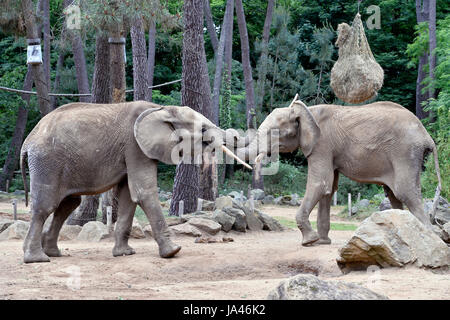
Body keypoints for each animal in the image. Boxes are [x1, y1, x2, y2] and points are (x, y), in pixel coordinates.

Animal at [20, 100, 246, 262]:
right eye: (203, 129)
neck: (161, 109)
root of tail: (28, 141)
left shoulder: (133, 150)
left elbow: (128, 196)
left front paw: (124, 254)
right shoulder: (135, 146)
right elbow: (144, 192)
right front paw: (173, 252)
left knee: (68, 203)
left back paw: (52, 253)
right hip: (46, 162)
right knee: (46, 206)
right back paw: (37, 259)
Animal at [237, 100, 442, 245]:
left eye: (275, 132)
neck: (306, 110)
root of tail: (427, 137)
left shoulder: (321, 145)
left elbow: (320, 184)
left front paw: (309, 241)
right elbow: (329, 189)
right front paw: (322, 242)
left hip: (406, 153)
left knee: (405, 192)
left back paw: (429, 239)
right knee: (393, 195)